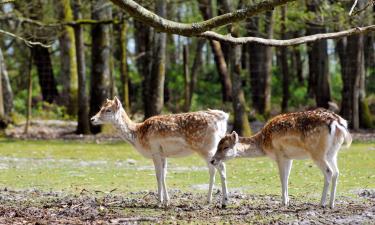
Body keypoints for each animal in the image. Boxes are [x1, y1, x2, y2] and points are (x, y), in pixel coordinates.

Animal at [91, 96, 231, 207]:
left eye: (108, 110)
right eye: (101, 107)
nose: (92, 119)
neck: (137, 135)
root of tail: (222, 119)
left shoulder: (155, 151)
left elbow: (158, 176)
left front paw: (158, 202)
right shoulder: (163, 154)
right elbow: (164, 175)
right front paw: (167, 201)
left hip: (206, 148)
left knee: (221, 167)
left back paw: (222, 201)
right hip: (211, 148)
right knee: (214, 169)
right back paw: (212, 200)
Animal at [212, 108, 352, 208]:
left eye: (225, 147)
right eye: (217, 144)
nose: (212, 160)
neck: (264, 142)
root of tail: (337, 122)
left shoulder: (279, 154)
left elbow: (282, 177)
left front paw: (284, 202)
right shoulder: (289, 157)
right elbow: (287, 176)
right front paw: (288, 201)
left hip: (317, 152)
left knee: (329, 172)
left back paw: (322, 203)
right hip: (332, 152)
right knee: (337, 172)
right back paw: (331, 204)